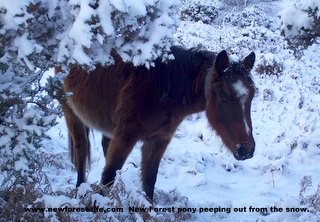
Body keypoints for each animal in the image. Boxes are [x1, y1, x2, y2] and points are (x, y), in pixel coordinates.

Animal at [58, 46, 256, 200]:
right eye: (223, 98)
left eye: (252, 97)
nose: (247, 149)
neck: (161, 89)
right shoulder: (125, 136)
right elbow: (108, 176)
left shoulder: (158, 140)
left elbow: (149, 180)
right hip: (71, 113)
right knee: (81, 150)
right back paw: (79, 188)